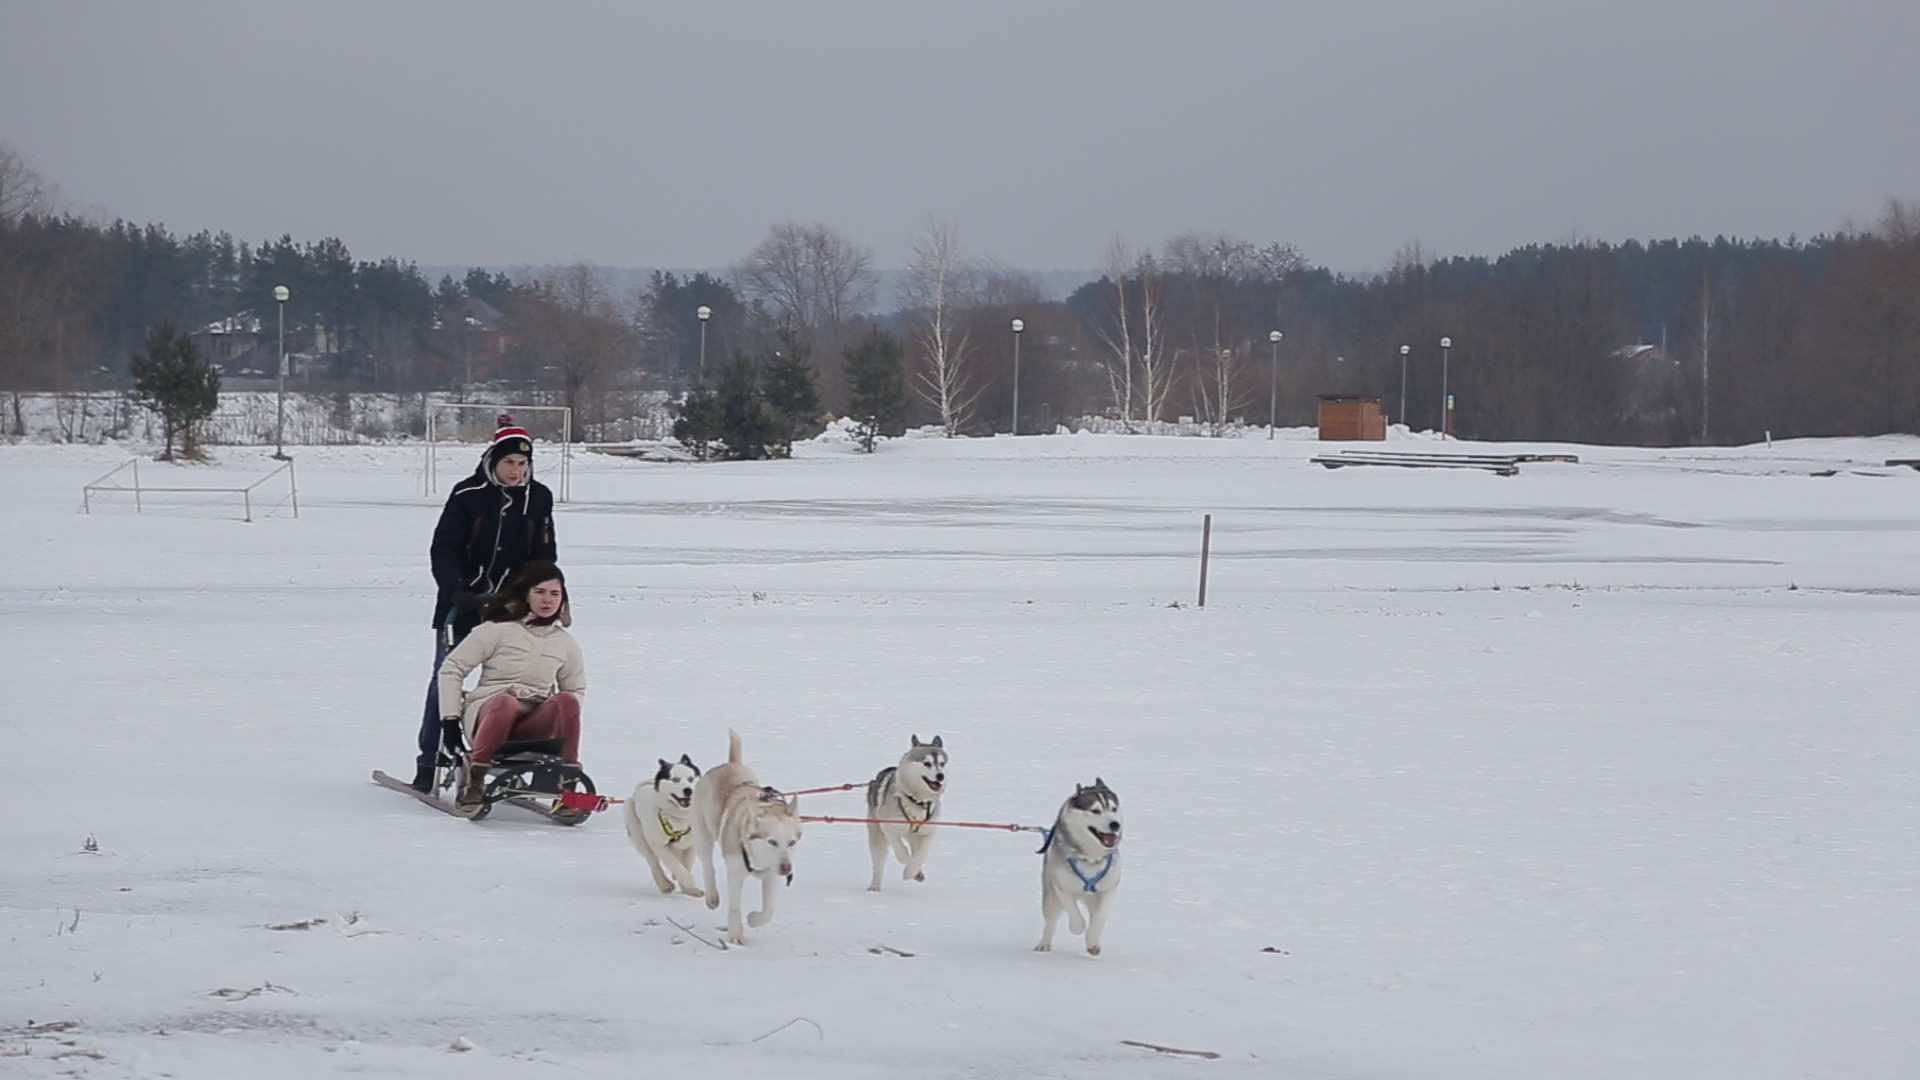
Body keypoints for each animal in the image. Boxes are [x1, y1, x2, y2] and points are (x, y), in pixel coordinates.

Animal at [622, 753, 706, 895]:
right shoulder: (659, 844)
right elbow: (676, 866)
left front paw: (689, 888)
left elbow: (686, 864)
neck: (679, 817)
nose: (688, 790)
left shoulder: (692, 844)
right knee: (653, 862)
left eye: (690, 779)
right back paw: (664, 885)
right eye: (675, 780)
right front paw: (687, 882)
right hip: (638, 834)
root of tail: (639, 789)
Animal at [691, 726, 802, 937]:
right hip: (702, 835)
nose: (787, 868)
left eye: (792, 843)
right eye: (772, 842)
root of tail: (729, 764)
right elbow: (734, 908)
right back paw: (712, 896)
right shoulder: (735, 873)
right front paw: (735, 936)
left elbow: (769, 911)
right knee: (707, 864)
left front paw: (754, 919)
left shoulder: (770, 875)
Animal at [864, 730, 944, 891]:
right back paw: (875, 887)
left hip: (914, 836)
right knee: (879, 863)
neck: (917, 801)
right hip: (877, 836)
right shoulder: (889, 828)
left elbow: (920, 855)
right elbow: (901, 852)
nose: (941, 776)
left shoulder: (928, 832)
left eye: (942, 763)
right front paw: (909, 870)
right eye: (927, 763)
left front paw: (913, 871)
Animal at [1036, 772, 1121, 949]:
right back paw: (1044, 944)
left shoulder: (1109, 887)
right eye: (1095, 811)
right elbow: (1074, 914)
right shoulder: (1061, 886)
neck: (1090, 858)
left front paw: (1093, 940)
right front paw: (1078, 928)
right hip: (1050, 895)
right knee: (1050, 921)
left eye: (1113, 809)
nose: (1115, 824)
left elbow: (1100, 916)